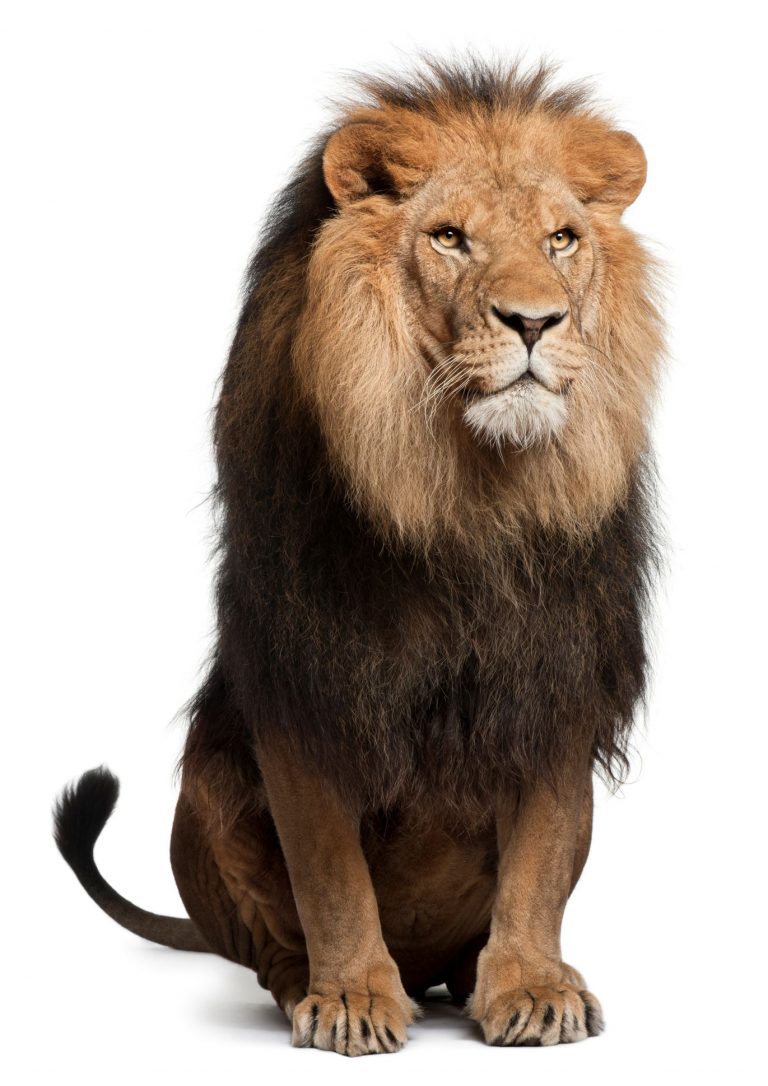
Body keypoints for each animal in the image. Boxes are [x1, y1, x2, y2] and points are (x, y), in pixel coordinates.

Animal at [55, 57, 664, 1051]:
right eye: (450, 238)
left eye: (563, 239)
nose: (537, 321)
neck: (467, 495)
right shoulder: (308, 677)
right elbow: (330, 871)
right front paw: (348, 1000)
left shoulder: (555, 678)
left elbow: (537, 860)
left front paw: (533, 987)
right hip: (205, 791)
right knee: (267, 941)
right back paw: (309, 984)